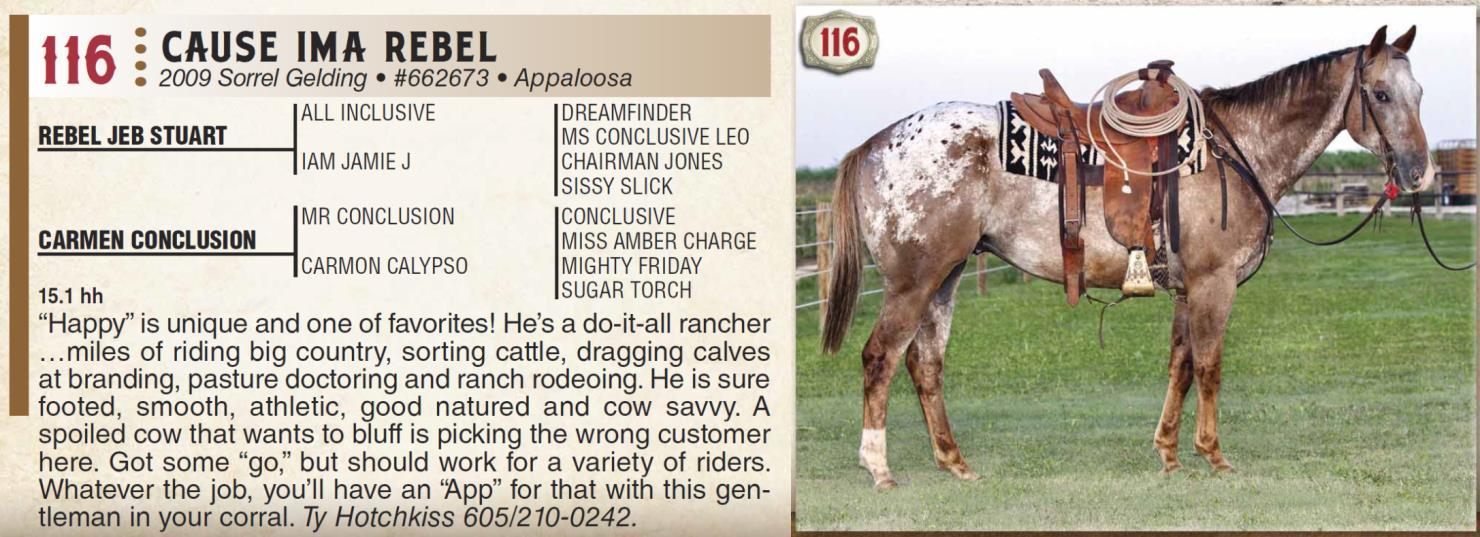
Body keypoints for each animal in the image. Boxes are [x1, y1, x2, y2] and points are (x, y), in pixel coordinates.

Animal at [822, 26, 1434, 489]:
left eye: (1421, 93)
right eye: (1381, 95)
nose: (1417, 171)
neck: (1233, 151)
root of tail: (875, 143)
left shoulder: (1187, 289)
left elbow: (1180, 365)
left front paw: (1168, 452)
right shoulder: (1214, 285)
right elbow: (1209, 366)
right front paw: (1213, 455)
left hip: (944, 277)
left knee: (925, 364)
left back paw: (954, 462)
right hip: (912, 281)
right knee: (879, 358)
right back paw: (878, 468)